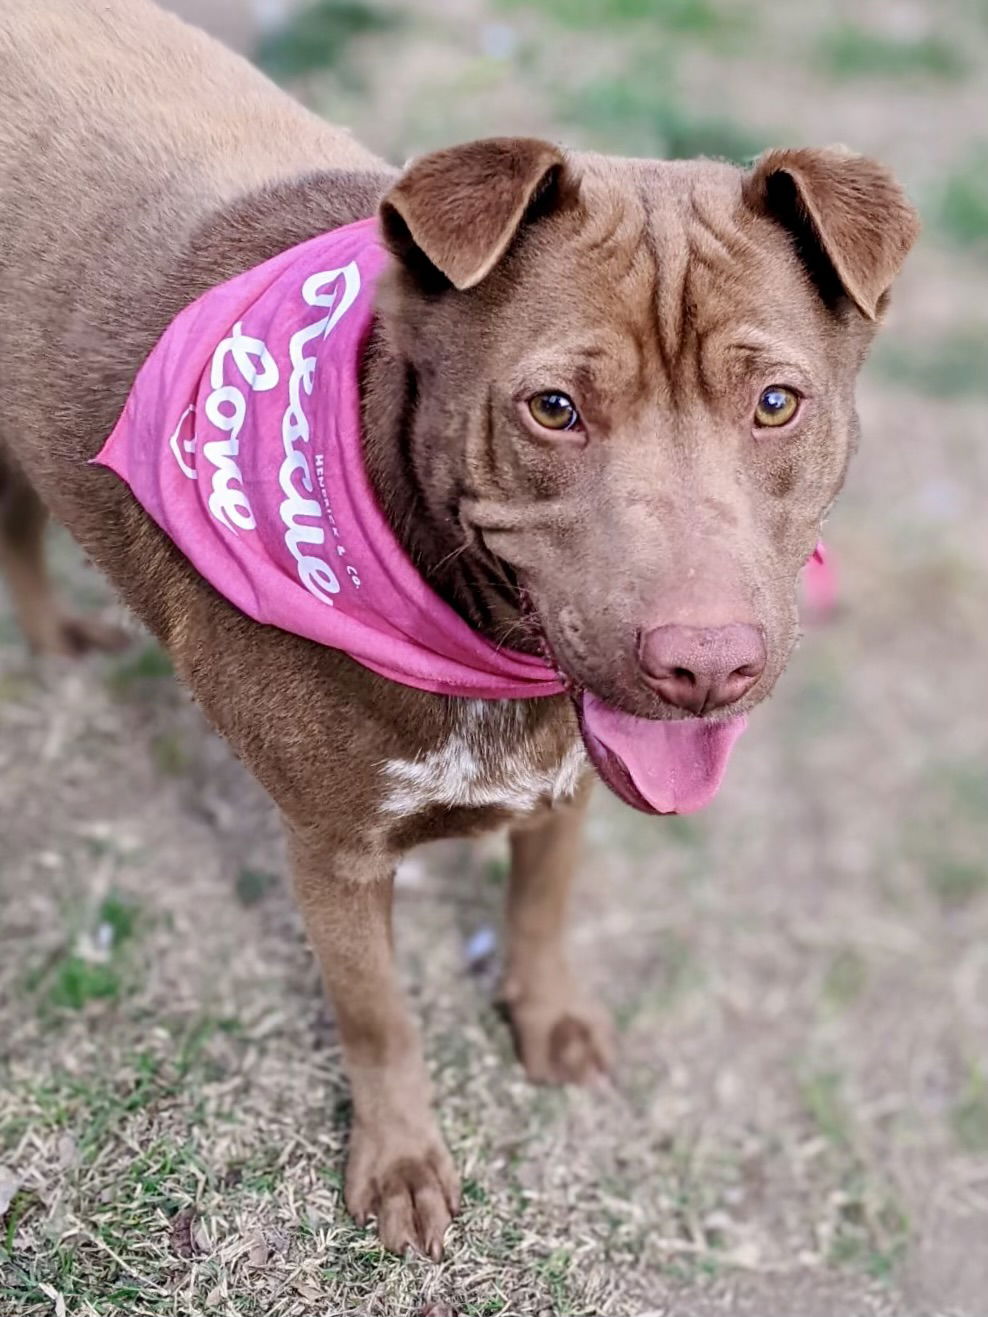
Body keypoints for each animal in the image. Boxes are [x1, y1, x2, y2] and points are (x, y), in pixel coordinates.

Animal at [0, 0, 922, 1259]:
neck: (478, 640)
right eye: (553, 409)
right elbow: (380, 1018)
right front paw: (397, 1163)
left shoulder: (572, 779)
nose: (704, 666)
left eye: (776, 403)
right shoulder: (334, 857)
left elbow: (538, 910)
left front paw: (546, 1019)